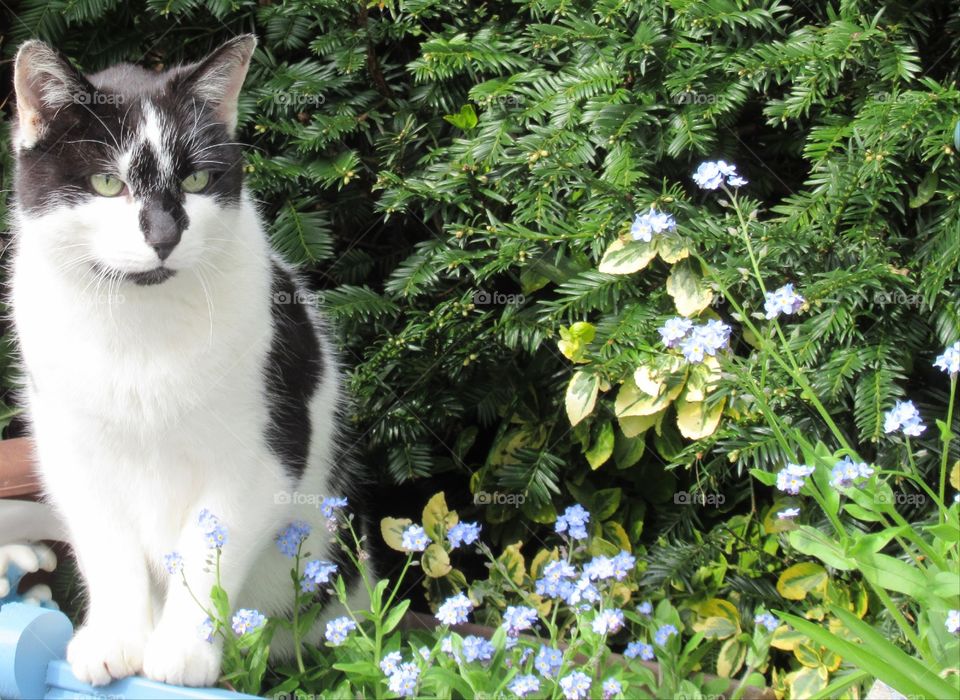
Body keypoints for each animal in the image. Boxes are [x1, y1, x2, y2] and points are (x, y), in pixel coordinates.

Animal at [7, 35, 366, 688]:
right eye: (106, 183)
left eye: (197, 177)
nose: (165, 235)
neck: (140, 325)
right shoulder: (73, 454)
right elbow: (109, 552)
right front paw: (113, 643)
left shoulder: (263, 451)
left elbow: (207, 553)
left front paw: (180, 654)